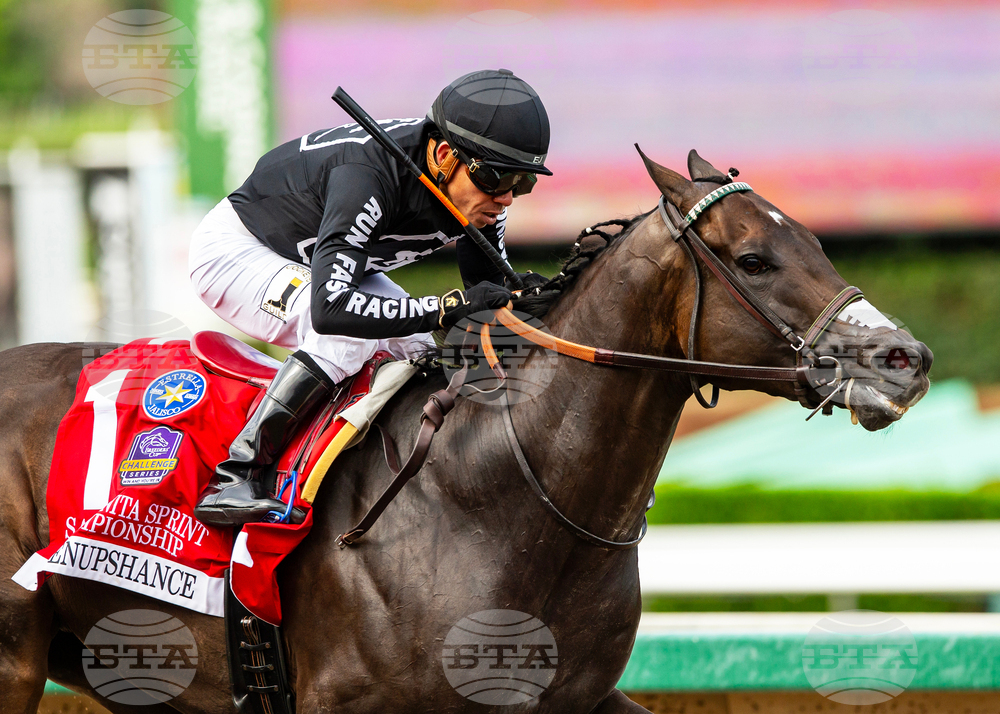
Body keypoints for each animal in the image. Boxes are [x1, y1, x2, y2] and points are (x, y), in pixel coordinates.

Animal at [0, 150, 931, 713]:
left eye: (815, 241)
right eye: (753, 261)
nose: (905, 358)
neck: (503, 497)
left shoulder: (576, 696)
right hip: (15, 656)